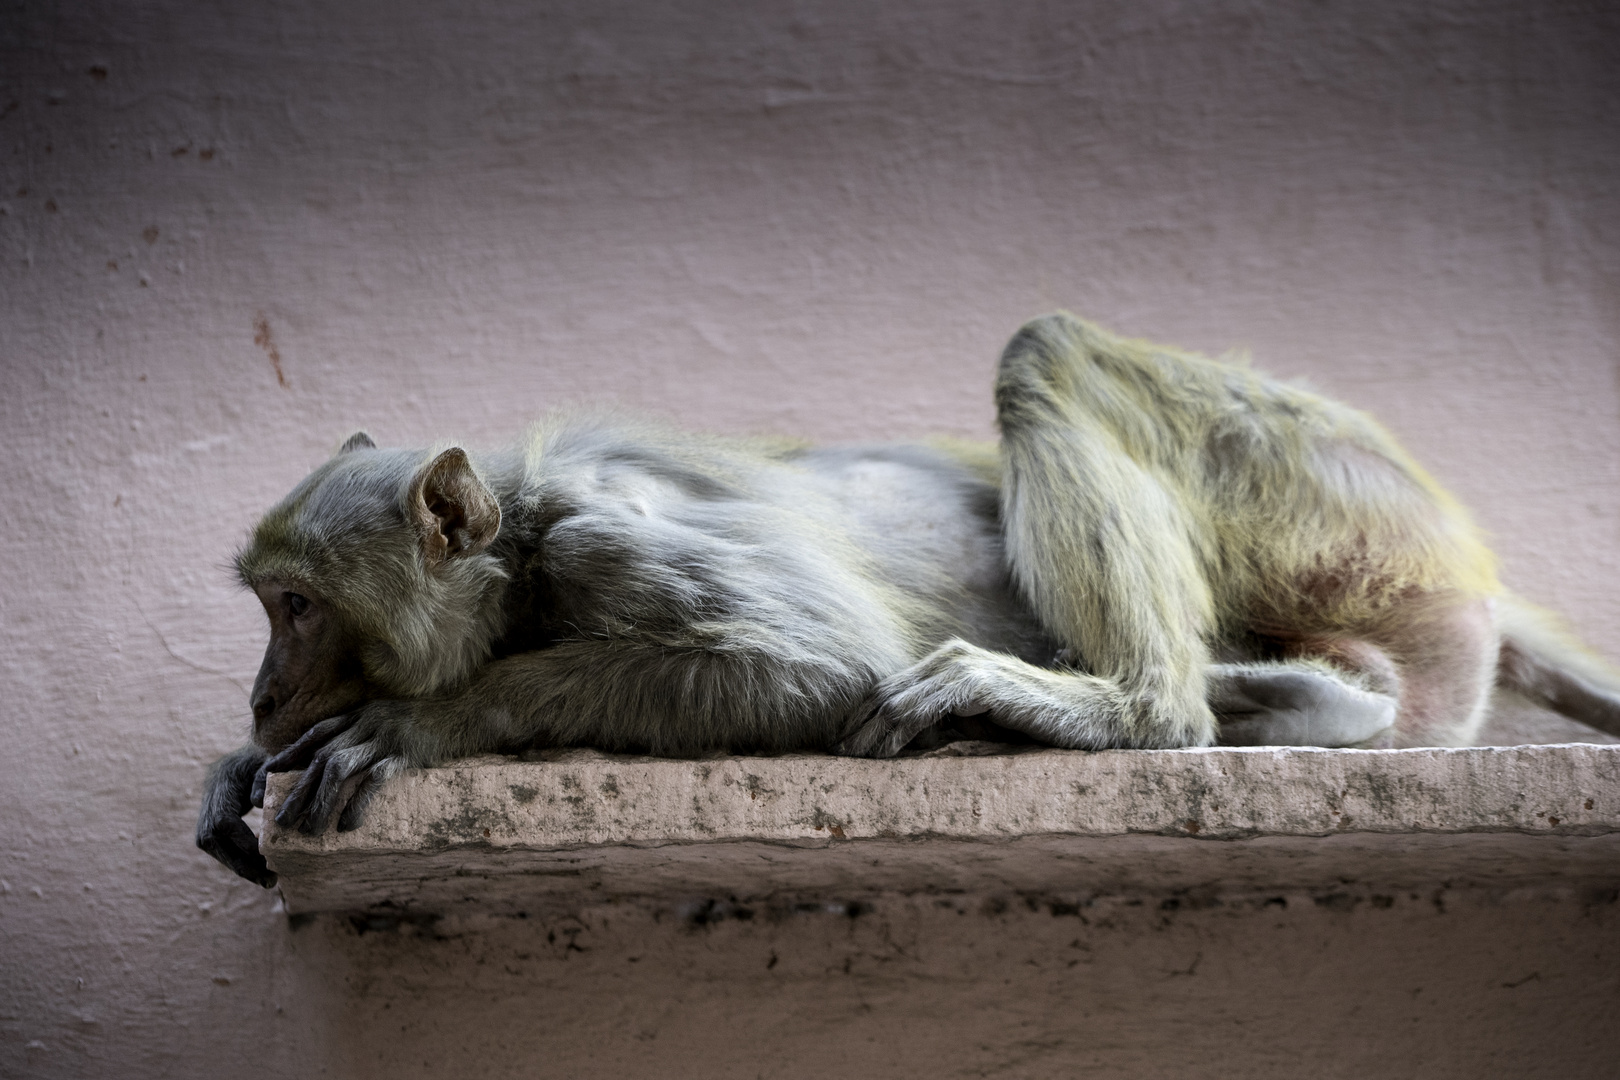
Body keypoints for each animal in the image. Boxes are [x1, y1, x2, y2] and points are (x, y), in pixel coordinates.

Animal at [196, 312, 1620, 887]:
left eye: (296, 605)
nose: (264, 688)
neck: (527, 538)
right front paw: (246, 757)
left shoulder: (616, 545)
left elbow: (818, 672)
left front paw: (424, 725)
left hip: (1338, 495)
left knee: (1051, 351)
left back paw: (1143, 709)